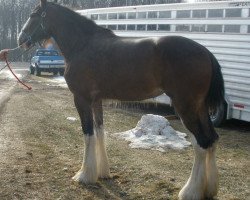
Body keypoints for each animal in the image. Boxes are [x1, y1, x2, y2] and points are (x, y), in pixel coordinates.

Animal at [17, 0, 225, 199]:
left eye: (34, 15)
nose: (21, 39)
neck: (83, 45)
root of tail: (205, 52)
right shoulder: (96, 101)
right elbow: (99, 132)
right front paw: (102, 172)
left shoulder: (81, 99)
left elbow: (88, 134)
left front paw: (84, 175)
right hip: (200, 107)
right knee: (212, 139)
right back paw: (209, 189)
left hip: (185, 106)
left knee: (201, 143)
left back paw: (191, 191)